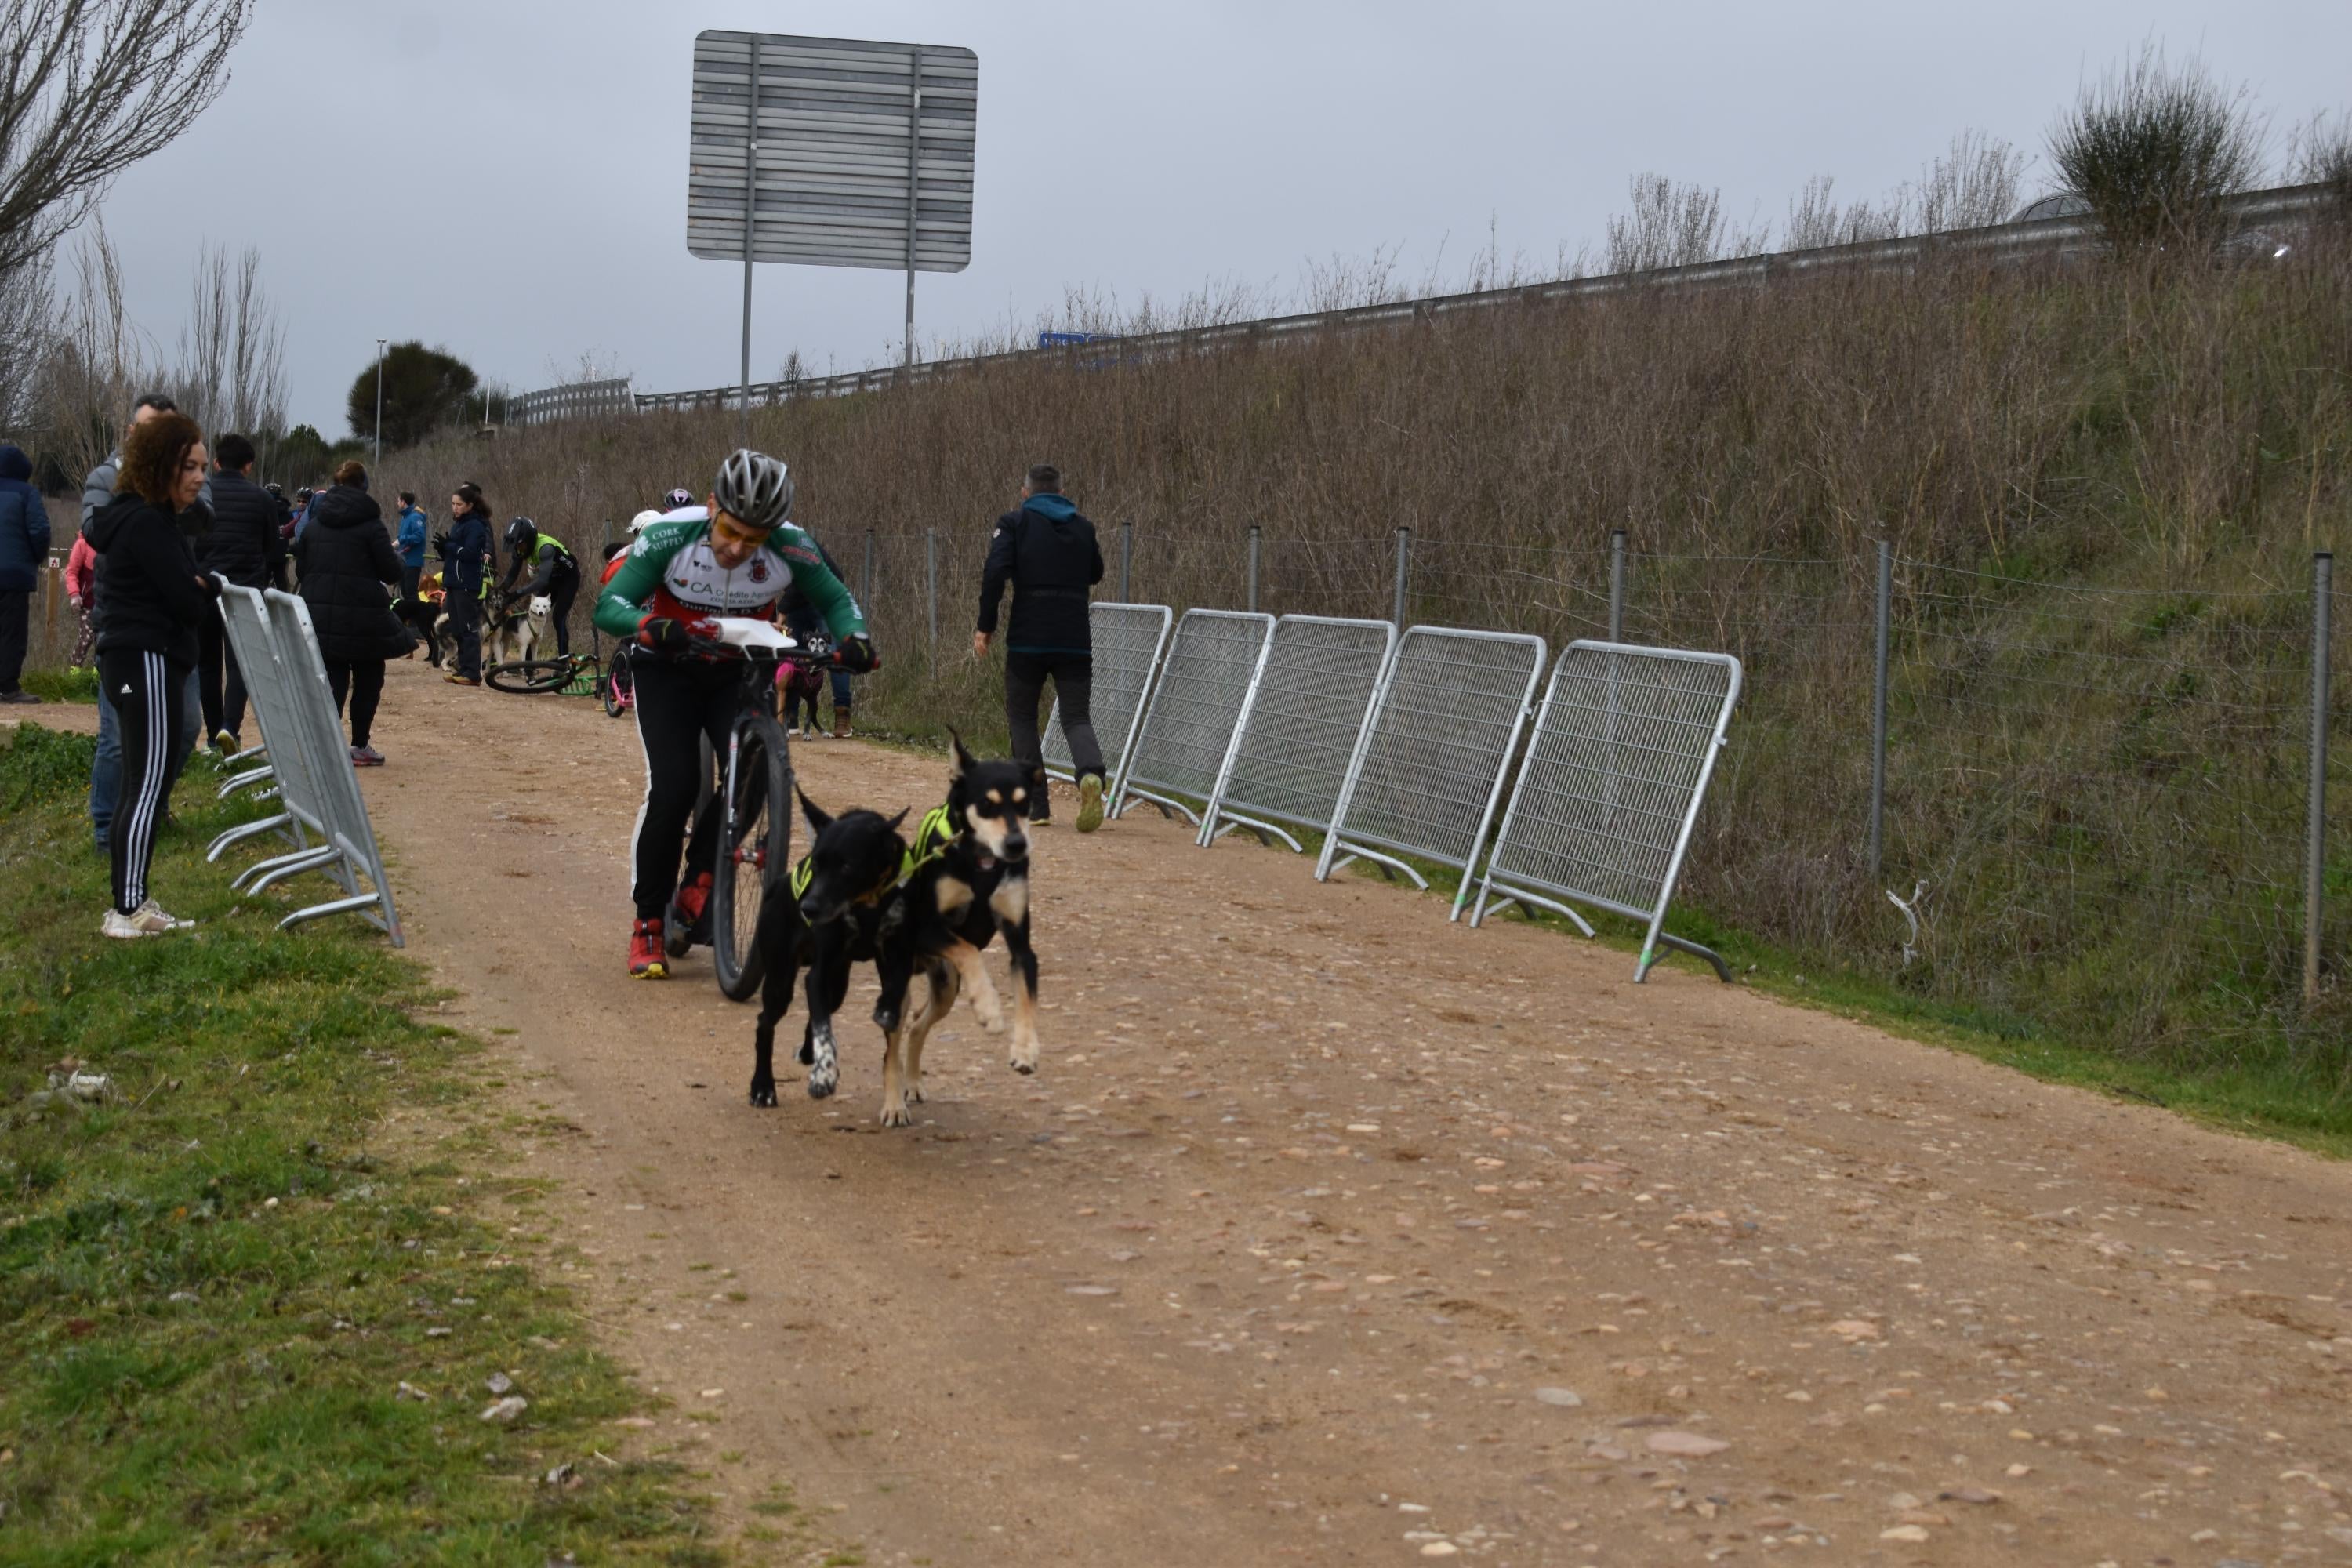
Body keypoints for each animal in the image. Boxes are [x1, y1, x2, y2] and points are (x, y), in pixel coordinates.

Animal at [748, 799, 903, 1114]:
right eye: (816, 864)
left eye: (847, 865)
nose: (808, 908)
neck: (862, 907)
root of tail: (777, 885)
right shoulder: (817, 975)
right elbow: (823, 1031)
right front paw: (824, 1075)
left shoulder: (890, 966)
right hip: (781, 982)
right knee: (765, 1024)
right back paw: (763, 1087)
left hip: (838, 984)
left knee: (820, 1011)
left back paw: (807, 1053)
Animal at [870, 733, 1044, 1128]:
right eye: (986, 804)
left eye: (1025, 804)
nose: (1017, 845)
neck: (983, 863)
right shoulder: (926, 929)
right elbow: (967, 949)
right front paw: (989, 1007)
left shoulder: (1020, 944)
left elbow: (1026, 994)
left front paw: (1026, 1048)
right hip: (896, 985)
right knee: (890, 1049)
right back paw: (894, 1104)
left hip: (946, 985)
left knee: (917, 1026)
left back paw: (913, 1083)